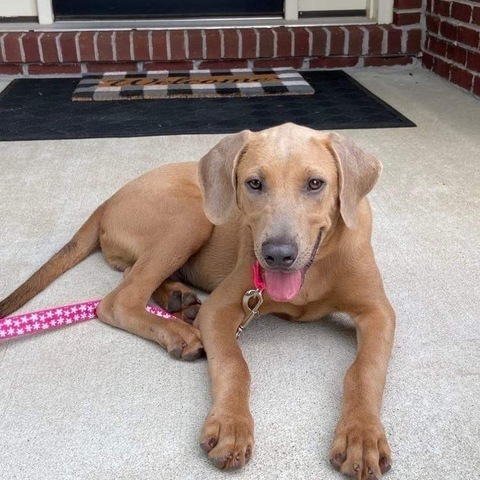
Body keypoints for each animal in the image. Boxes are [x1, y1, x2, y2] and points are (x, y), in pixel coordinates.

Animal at [0, 124, 394, 480]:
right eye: (254, 184)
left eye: (315, 184)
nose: (277, 255)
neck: (313, 272)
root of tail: (109, 199)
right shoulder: (221, 308)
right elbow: (235, 365)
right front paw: (231, 427)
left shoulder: (379, 312)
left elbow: (365, 370)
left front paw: (362, 437)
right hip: (192, 216)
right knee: (117, 300)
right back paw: (178, 331)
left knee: (133, 277)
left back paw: (177, 298)